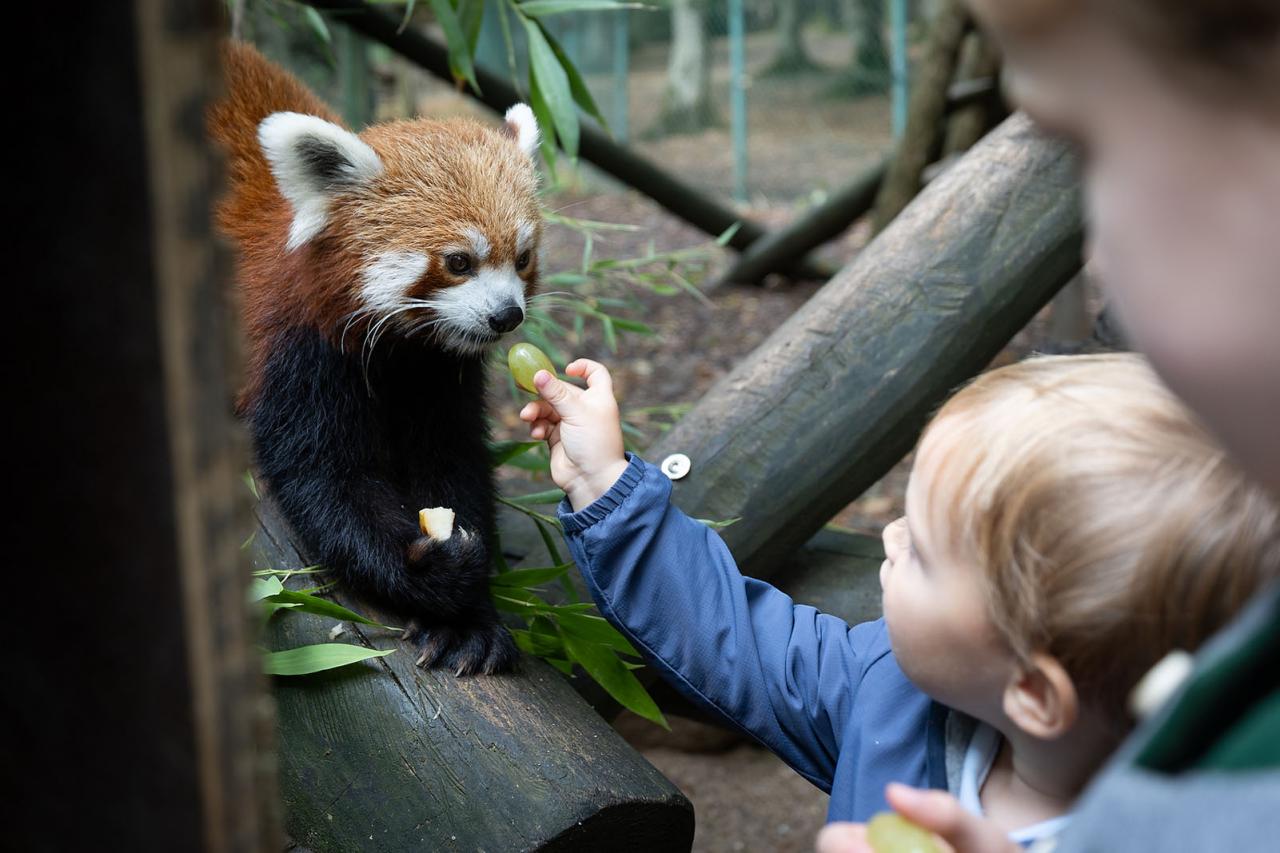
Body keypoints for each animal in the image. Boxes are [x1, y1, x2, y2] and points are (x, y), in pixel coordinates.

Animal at [209, 43, 540, 676]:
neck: (400, 353)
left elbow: (451, 462)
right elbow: (329, 479)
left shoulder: (439, 374)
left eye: (523, 257)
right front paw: (430, 570)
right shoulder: (299, 354)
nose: (506, 315)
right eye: (458, 262)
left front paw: (471, 618)